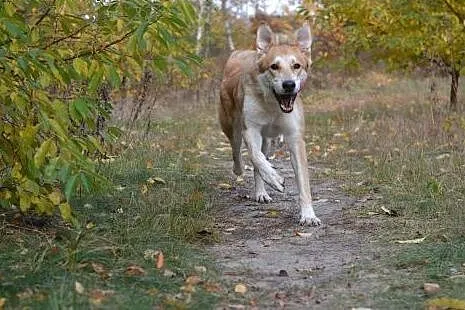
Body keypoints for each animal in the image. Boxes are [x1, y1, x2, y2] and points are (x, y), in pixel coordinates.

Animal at [218, 22, 320, 225]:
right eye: (274, 66)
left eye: (296, 65)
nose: (289, 84)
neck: (273, 106)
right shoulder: (251, 130)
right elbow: (256, 157)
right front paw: (274, 178)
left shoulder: (295, 137)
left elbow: (303, 181)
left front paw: (308, 215)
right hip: (231, 126)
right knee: (238, 150)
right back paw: (240, 169)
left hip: (267, 141)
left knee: (261, 156)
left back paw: (261, 193)